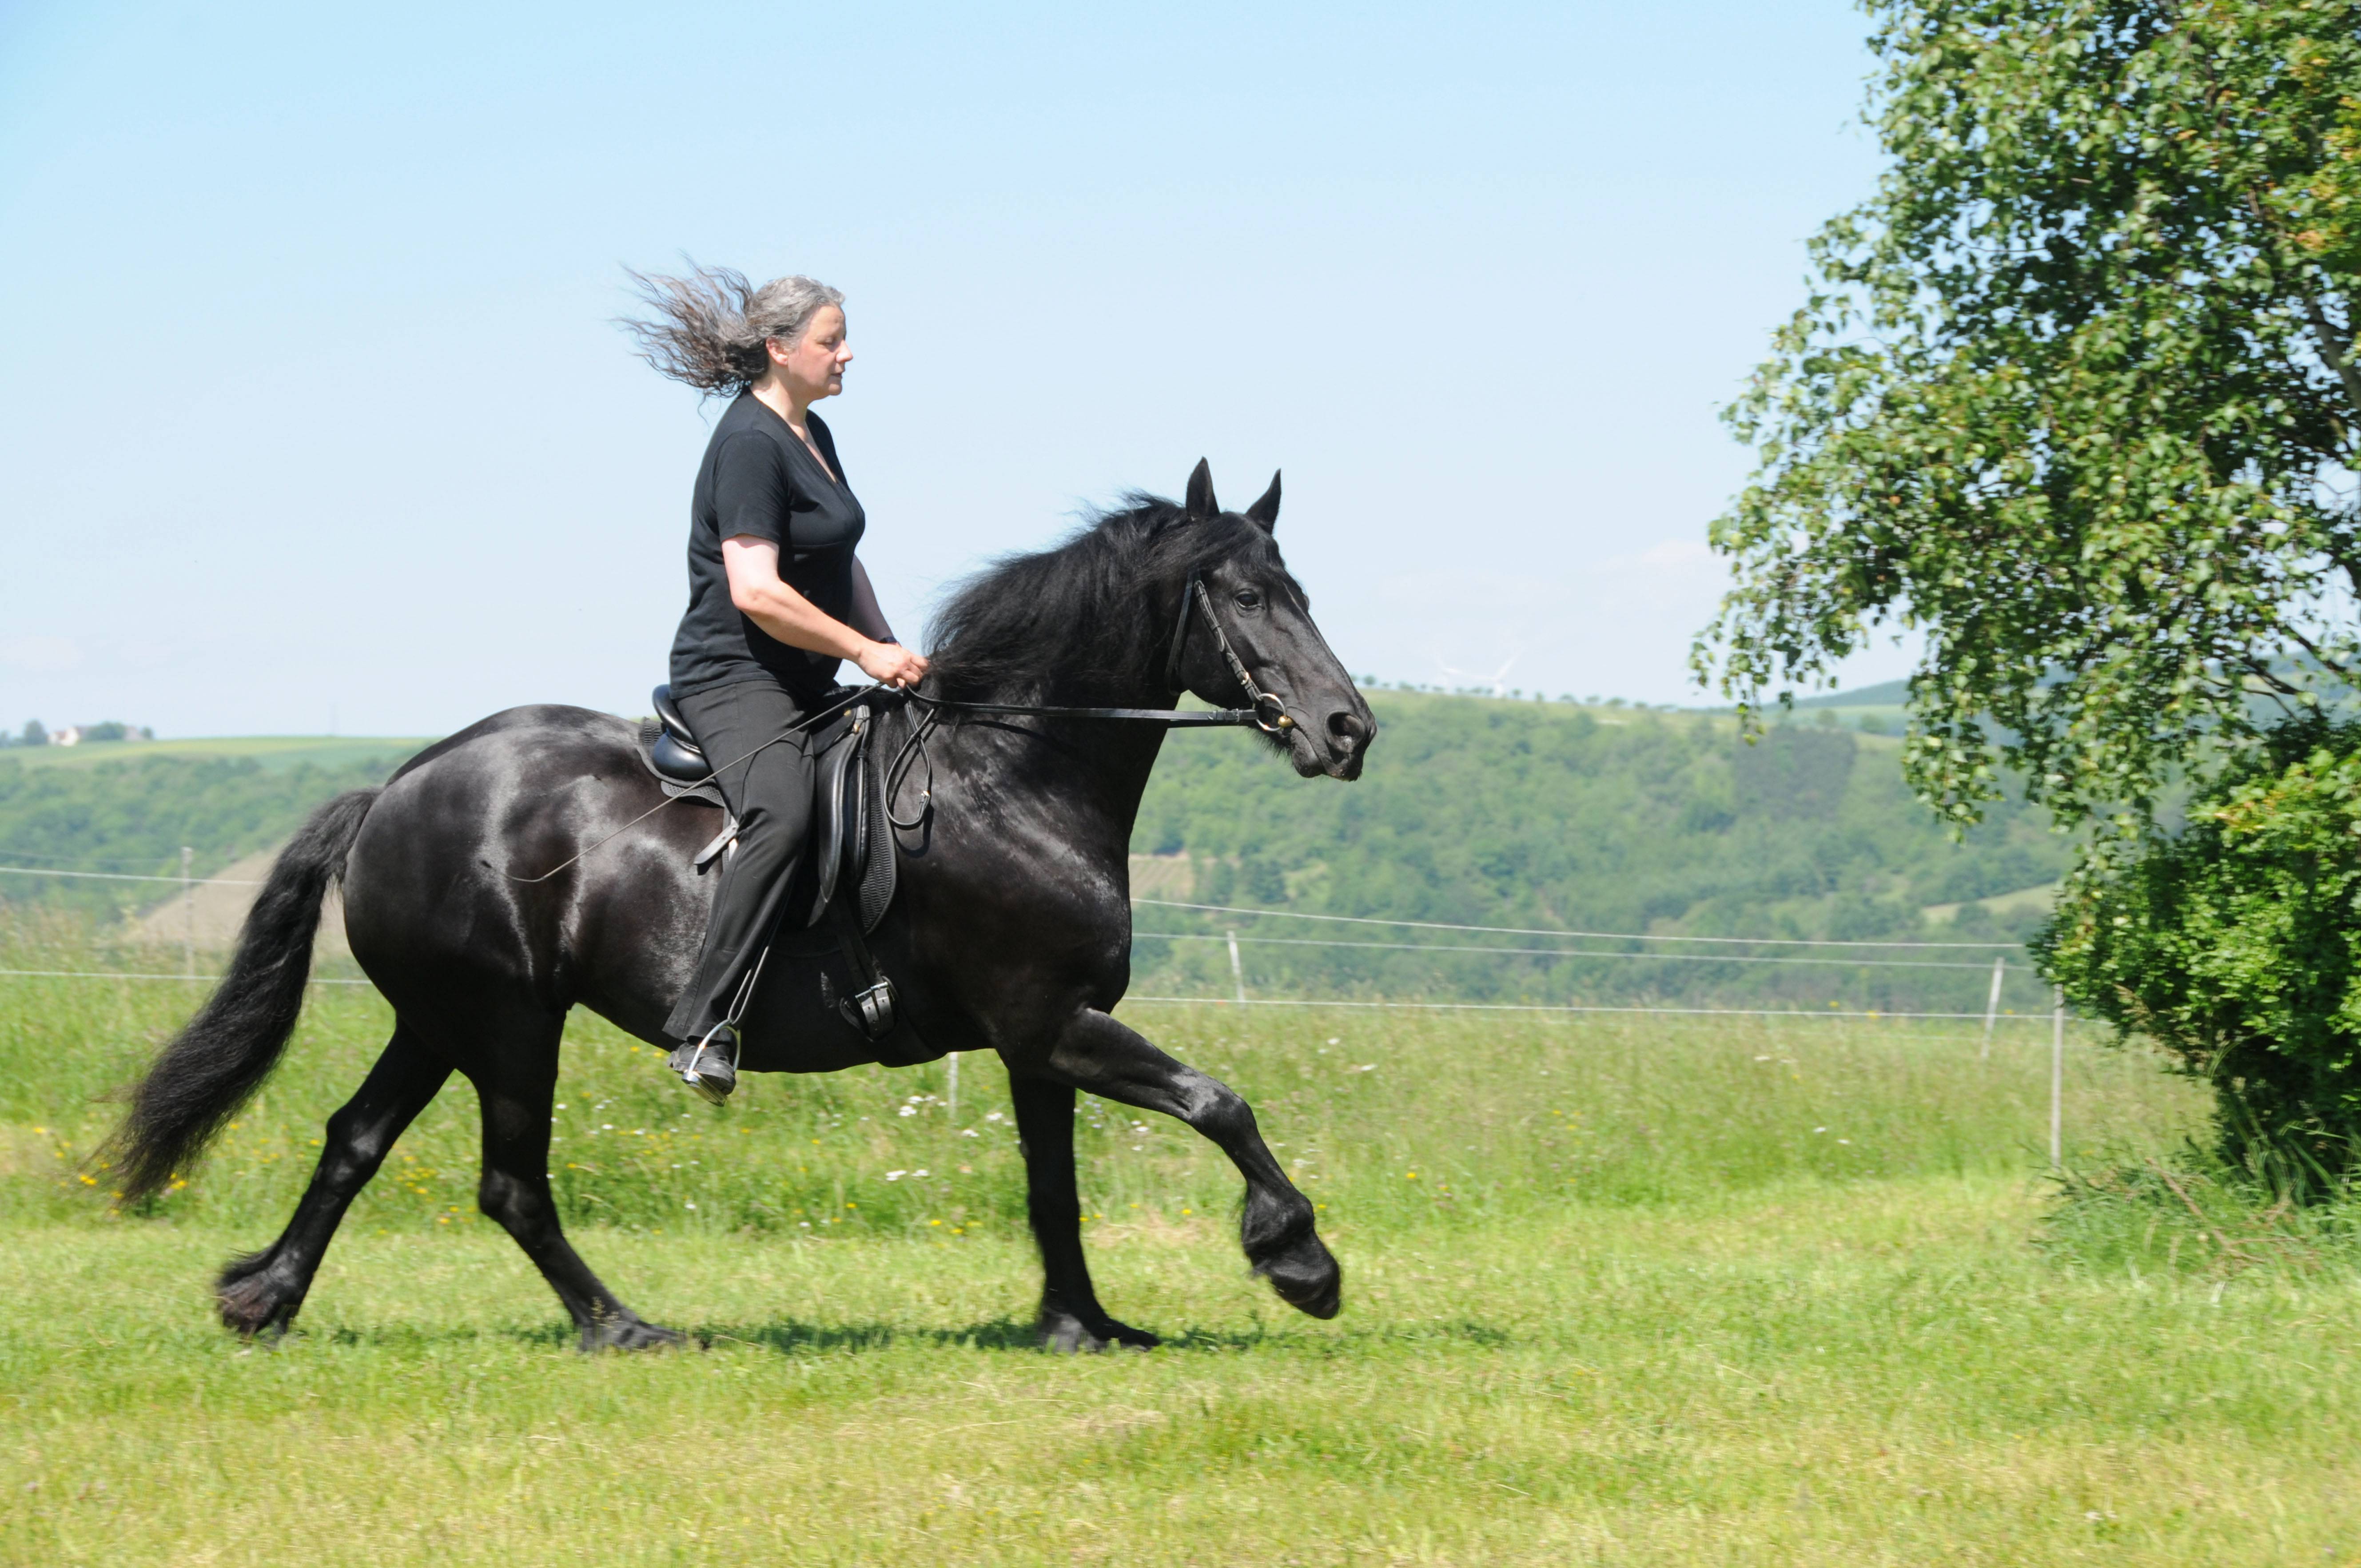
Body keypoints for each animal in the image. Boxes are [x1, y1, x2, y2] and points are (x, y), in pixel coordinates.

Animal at [111, 460, 1378, 1350]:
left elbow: (1052, 1191)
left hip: (439, 1020)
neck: (1012, 777)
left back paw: (264, 1298)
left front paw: (1083, 1324)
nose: (1347, 730)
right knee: (510, 1184)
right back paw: (622, 1327)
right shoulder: (1053, 1025)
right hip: (510, 1024)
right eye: (1251, 596)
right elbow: (1219, 1103)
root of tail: (393, 790)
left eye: (1302, 591)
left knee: (354, 1142)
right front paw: (1299, 1264)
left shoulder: (1038, 1042)